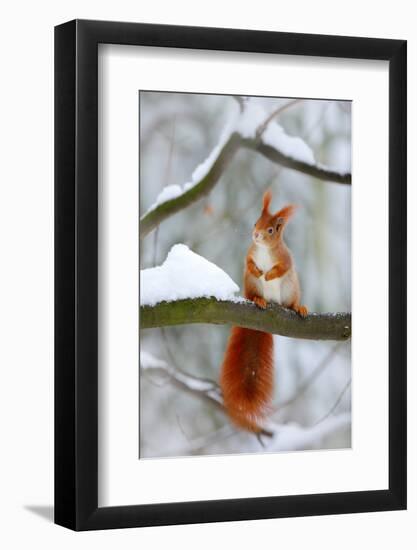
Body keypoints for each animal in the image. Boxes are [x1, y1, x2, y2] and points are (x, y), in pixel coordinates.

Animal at [219, 192, 308, 434]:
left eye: (271, 230)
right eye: (254, 223)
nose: (256, 235)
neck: (265, 251)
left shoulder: (285, 259)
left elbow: (281, 268)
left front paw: (269, 275)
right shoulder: (250, 254)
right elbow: (249, 262)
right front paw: (259, 271)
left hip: (291, 289)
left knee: (291, 302)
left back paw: (298, 307)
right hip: (251, 287)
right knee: (254, 294)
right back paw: (258, 300)